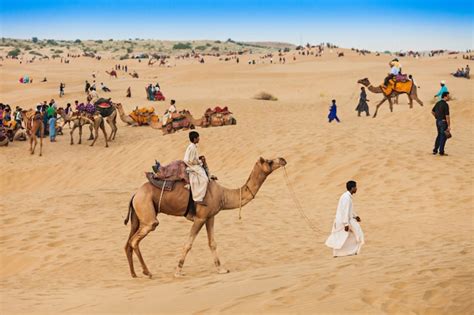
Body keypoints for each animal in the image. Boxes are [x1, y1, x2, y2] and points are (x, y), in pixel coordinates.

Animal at [124, 158, 286, 278]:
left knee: (128, 243)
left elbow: (212, 243)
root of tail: (135, 195)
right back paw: (147, 272)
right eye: (269, 161)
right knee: (136, 239)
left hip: (138, 215)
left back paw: (134, 274)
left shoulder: (210, 217)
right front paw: (178, 271)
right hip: (147, 212)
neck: (223, 195)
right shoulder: (200, 217)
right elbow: (188, 244)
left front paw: (221, 269)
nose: (282, 159)